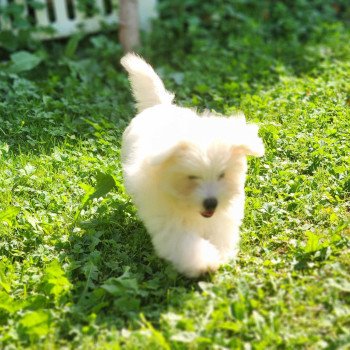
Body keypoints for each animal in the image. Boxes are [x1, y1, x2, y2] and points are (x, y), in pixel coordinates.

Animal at [119, 54, 262, 278]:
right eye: (192, 177)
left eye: (222, 175)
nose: (211, 203)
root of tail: (160, 106)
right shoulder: (171, 222)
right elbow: (186, 244)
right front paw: (204, 262)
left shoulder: (221, 217)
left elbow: (219, 231)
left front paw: (221, 253)